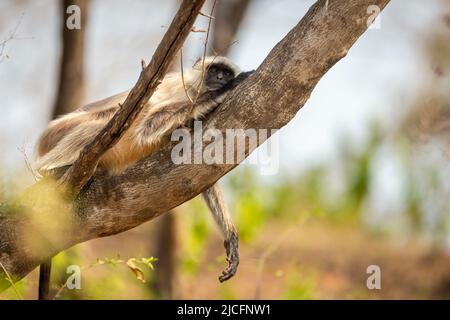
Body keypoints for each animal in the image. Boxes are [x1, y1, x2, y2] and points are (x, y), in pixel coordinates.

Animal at [35, 56, 253, 298]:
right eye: (215, 70)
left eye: (226, 72)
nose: (221, 79)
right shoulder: (181, 88)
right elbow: (149, 123)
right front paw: (221, 92)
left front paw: (231, 238)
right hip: (59, 132)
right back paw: (49, 170)